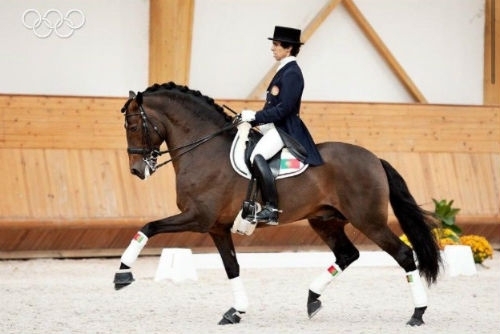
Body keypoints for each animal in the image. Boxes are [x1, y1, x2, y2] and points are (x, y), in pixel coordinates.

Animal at [113, 81, 442, 326]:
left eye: (132, 125)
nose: (137, 170)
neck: (204, 149)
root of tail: (375, 158)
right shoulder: (217, 227)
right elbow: (232, 267)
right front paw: (236, 312)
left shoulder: (198, 217)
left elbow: (148, 227)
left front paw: (122, 274)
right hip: (325, 220)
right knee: (348, 254)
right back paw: (312, 299)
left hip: (368, 220)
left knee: (404, 254)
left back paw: (417, 314)